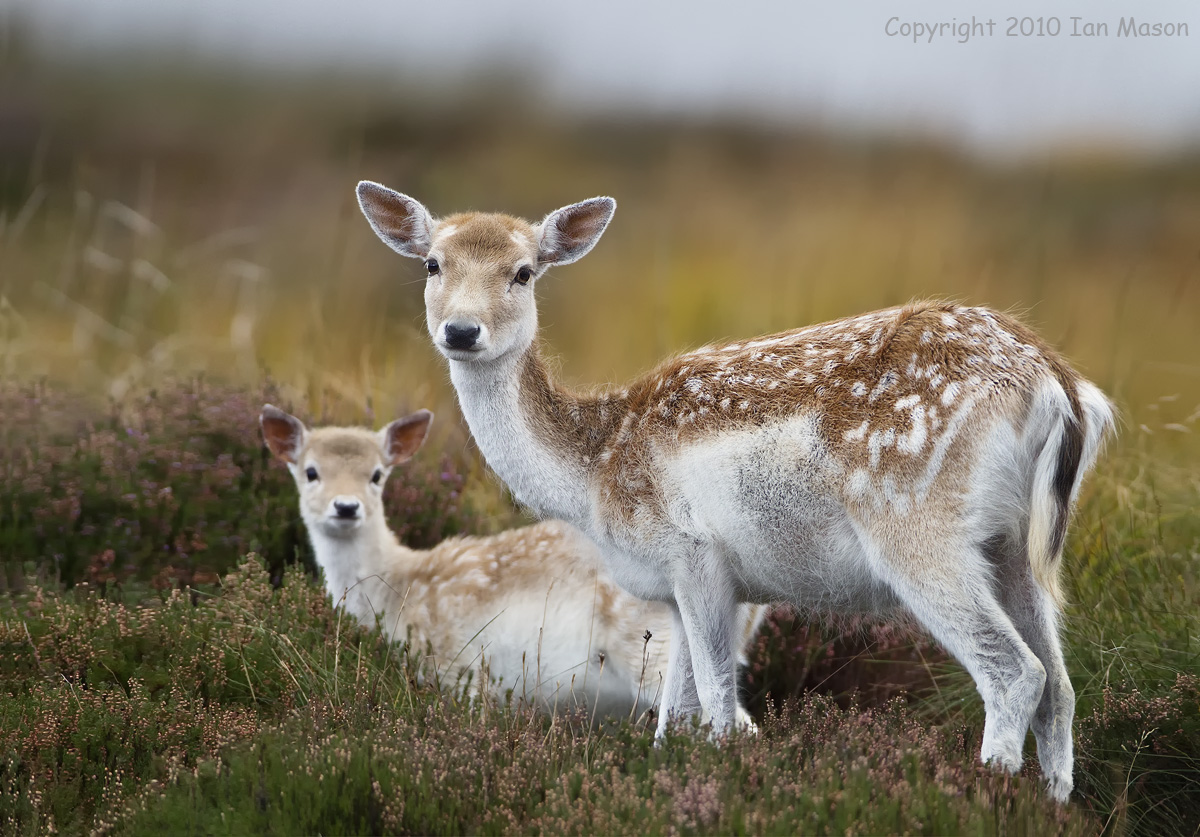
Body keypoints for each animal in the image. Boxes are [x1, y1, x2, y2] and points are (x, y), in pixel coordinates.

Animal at [260, 404, 766, 724]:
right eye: (310, 472)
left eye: (377, 475)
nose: (346, 508)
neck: (398, 593)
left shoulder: (462, 670)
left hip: (650, 645)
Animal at [354, 181, 1115, 802]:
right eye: (432, 264)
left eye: (523, 271)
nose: (461, 330)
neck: (593, 473)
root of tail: (1062, 389)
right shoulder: (679, 589)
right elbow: (673, 717)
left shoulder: (695, 555)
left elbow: (720, 713)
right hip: (1016, 548)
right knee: (1062, 685)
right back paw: (1052, 800)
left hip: (918, 530)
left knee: (1015, 673)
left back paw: (989, 789)